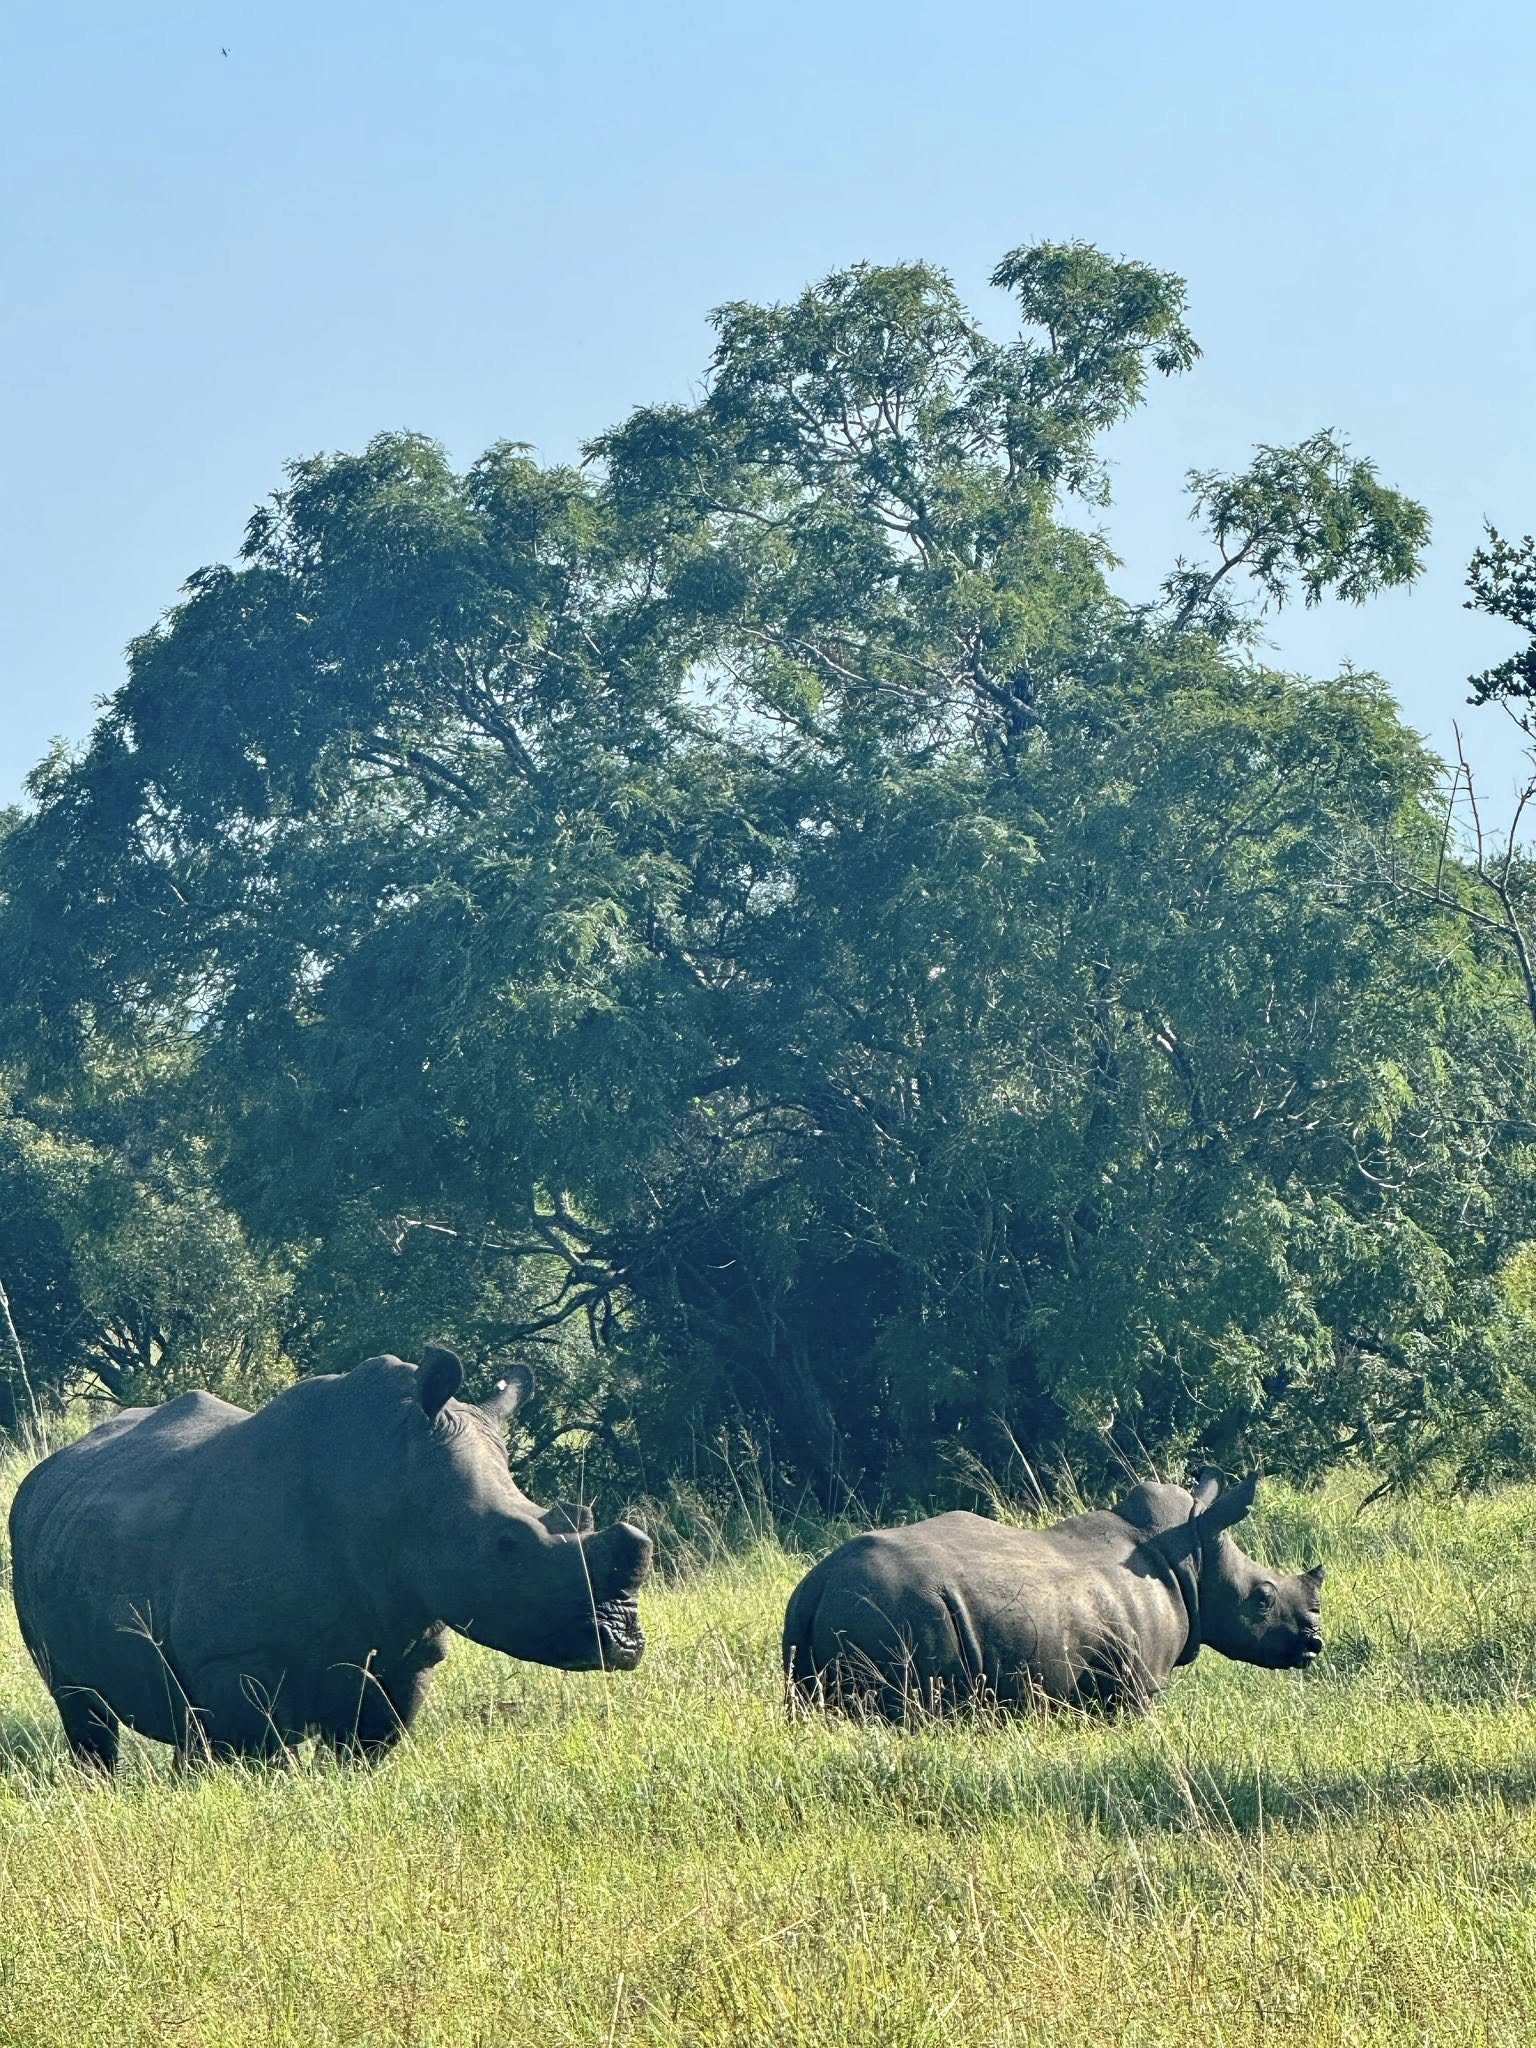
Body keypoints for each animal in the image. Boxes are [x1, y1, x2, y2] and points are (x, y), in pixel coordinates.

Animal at [8, 1346, 652, 1769]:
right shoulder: (234, 1658)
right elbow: (259, 1755)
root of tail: (46, 1470)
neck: (393, 1479)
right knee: (81, 1703)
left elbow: (366, 1749)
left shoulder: (406, 1649)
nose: (622, 1643)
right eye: (506, 1545)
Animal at [782, 1468, 1323, 1720]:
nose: (1314, 1642)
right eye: (1262, 1597)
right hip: (901, 1613)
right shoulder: (1136, 1686)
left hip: (815, 1620)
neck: (1188, 1555)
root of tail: (818, 1583)